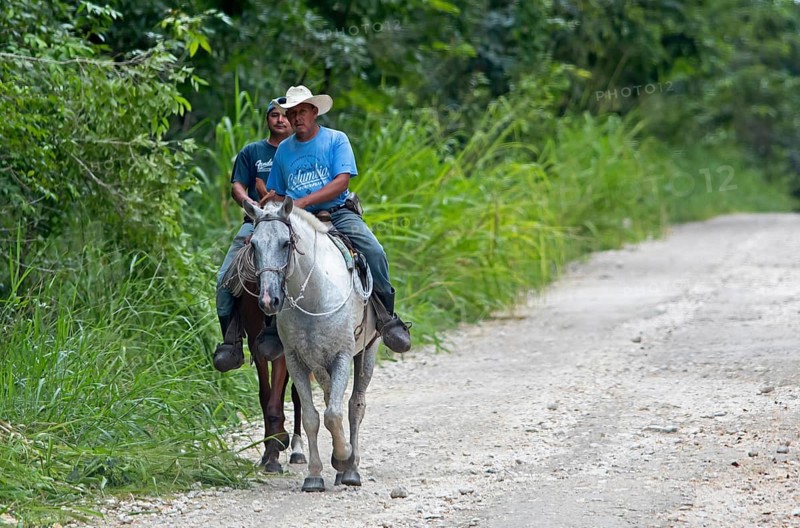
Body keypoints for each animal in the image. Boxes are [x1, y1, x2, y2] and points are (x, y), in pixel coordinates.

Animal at [243, 197, 380, 492]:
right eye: (254, 244)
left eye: (286, 243)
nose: (268, 300)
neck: (316, 294)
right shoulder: (295, 361)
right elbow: (312, 417)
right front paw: (314, 475)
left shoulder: (342, 356)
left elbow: (334, 414)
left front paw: (344, 456)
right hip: (318, 364)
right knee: (329, 399)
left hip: (367, 352)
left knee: (354, 406)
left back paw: (351, 469)